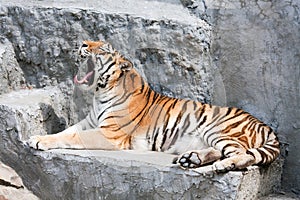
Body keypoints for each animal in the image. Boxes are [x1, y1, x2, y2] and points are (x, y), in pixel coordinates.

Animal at [27, 40, 280, 172]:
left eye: (103, 49)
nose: (83, 43)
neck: (100, 92)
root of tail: (265, 126)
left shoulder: (110, 134)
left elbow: (72, 137)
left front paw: (37, 140)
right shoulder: (87, 123)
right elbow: (65, 132)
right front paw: (40, 136)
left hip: (218, 129)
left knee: (242, 154)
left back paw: (224, 165)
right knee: (221, 150)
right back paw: (191, 159)